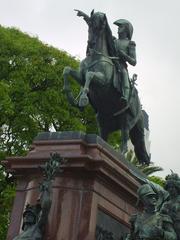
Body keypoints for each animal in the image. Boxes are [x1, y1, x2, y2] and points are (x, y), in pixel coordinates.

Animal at [63, 10, 150, 165]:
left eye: (99, 27)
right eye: (89, 25)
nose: (90, 44)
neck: (96, 56)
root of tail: (140, 111)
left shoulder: (103, 81)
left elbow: (90, 75)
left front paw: (83, 98)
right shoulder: (80, 76)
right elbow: (67, 70)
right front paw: (71, 97)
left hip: (126, 120)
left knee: (124, 139)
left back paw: (121, 155)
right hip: (102, 120)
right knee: (103, 136)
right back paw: (99, 145)